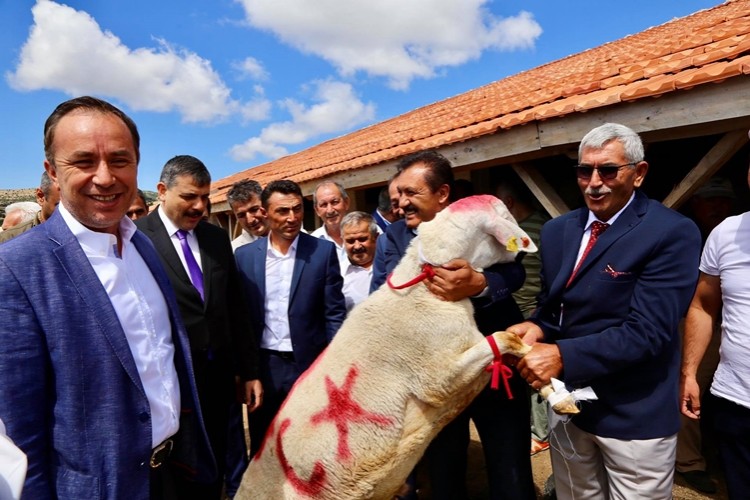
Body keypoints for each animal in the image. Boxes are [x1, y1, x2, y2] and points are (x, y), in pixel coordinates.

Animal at [238, 194, 580, 500]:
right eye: (506, 215)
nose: (528, 248)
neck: (422, 290)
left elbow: (512, 341)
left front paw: (557, 393)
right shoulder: (437, 378)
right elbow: (506, 339)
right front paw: (558, 390)